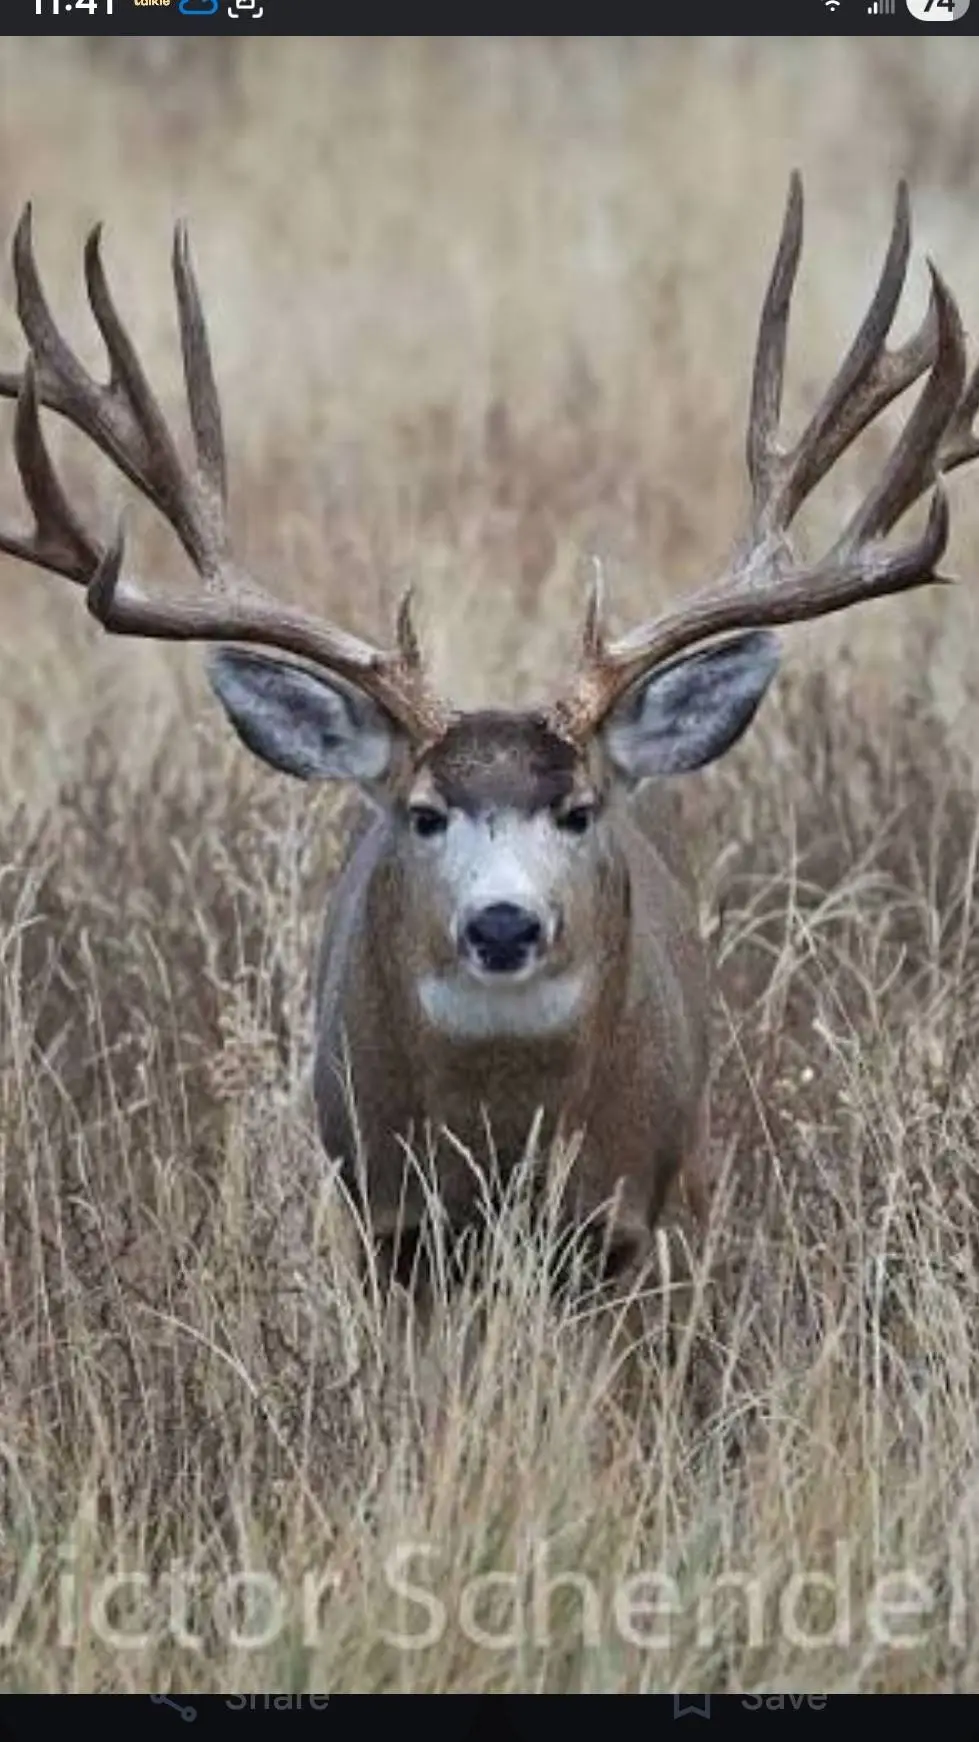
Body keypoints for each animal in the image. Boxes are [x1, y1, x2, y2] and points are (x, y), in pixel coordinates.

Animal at [0, 175, 977, 1297]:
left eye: (578, 810)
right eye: (425, 814)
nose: (503, 923)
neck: (507, 1141)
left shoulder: (628, 1218)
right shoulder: (388, 1220)